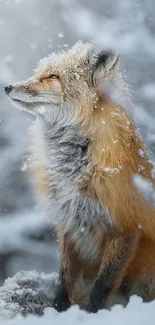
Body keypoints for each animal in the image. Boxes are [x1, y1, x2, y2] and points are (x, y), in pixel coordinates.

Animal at [3, 41, 155, 312]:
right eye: (39, 72)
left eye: (52, 77)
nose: (7, 87)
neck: (75, 173)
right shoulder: (69, 224)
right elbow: (64, 279)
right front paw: (58, 309)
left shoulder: (126, 225)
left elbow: (103, 285)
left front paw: (93, 313)